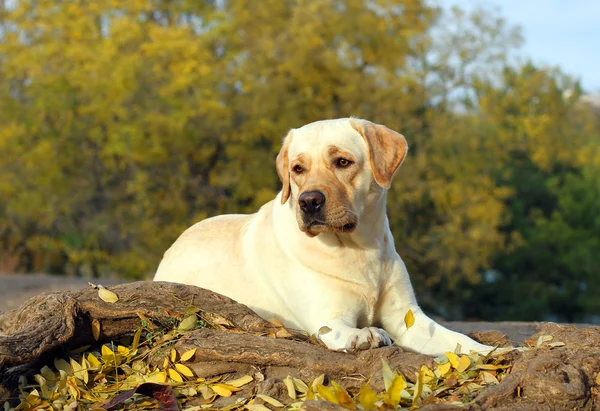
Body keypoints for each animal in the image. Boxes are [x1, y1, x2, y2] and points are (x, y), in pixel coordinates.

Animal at [155, 117, 492, 356]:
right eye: (297, 169)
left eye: (342, 162)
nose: (309, 202)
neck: (358, 250)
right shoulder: (327, 317)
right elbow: (345, 331)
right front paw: (366, 335)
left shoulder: (408, 319)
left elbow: (459, 341)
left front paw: (492, 351)